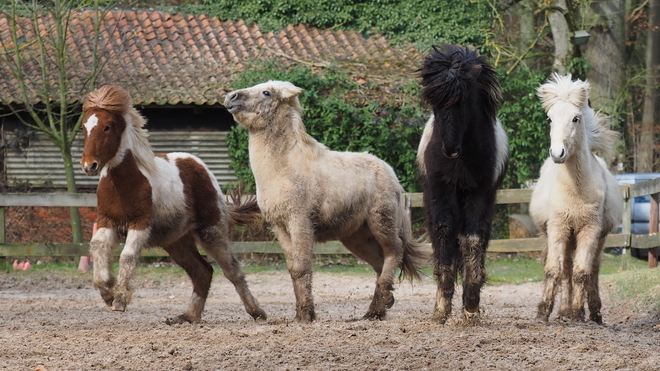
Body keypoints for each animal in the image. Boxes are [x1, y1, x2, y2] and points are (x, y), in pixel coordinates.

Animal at [82, 85, 266, 324]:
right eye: (84, 127)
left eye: (107, 127)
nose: (89, 166)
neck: (124, 184)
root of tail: (203, 169)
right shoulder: (108, 221)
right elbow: (97, 245)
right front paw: (107, 291)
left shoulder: (140, 223)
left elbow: (127, 255)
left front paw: (120, 299)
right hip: (177, 241)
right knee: (202, 272)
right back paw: (187, 316)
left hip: (211, 231)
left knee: (232, 271)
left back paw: (257, 311)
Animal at [223, 80, 428, 322]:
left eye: (266, 92)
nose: (231, 97)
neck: (284, 167)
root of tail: (392, 176)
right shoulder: (280, 227)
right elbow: (293, 269)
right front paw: (300, 314)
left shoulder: (300, 222)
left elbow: (302, 267)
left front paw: (306, 315)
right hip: (356, 237)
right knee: (380, 262)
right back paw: (381, 307)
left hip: (382, 222)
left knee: (394, 252)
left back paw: (374, 311)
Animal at [418, 45, 510, 324]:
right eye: (433, 103)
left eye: (463, 100)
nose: (449, 150)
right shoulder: (441, 191)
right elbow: (445, 234)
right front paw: (442, 306)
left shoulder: (480, 193)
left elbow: (473, 239)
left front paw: (471, 303)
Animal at [528, 74, 620, 324]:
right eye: (549, 119)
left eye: (576, 118)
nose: (557, 153)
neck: (576, 191)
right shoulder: (558, 227)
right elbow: (554, 270)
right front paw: (543, 312)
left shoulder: (590, 230)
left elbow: (582, 272)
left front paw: (579, 313)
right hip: (567, 235)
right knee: (566, 269)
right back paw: (563, 311)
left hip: (598, 238)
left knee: (592, 270)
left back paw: (594, 313)